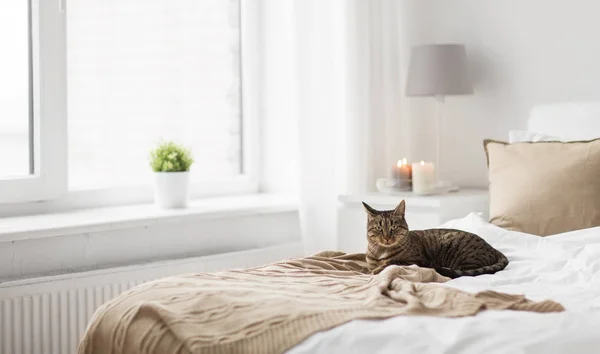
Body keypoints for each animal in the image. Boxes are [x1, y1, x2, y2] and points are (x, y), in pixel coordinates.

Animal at [364, 201, 508, 278]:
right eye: (378, 228)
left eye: (394, 227)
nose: (387, 238)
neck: (381, 252)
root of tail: (493, 249)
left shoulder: (417, 261)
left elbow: (391, 262)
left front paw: (378, 269)